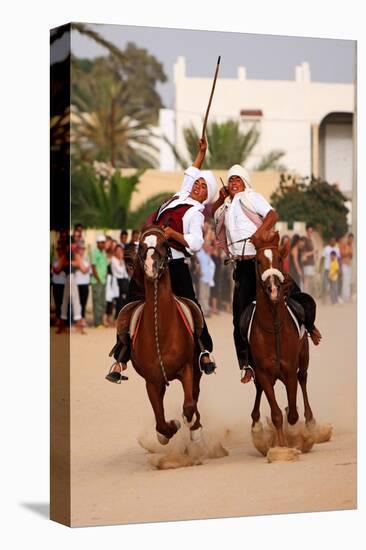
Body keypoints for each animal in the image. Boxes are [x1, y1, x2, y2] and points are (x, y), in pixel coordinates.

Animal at [121, 226, 204, 446]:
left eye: (166, 244)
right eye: (141, 246)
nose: (151, 267)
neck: (162, 331)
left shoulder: (187, 368)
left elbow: (189, 405)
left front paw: (192, 425)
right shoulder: (152, 381)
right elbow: (160, 423)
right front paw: (170, 427)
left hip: (197, 368)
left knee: (195, 395)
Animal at [246, 231, 332, 464]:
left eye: (278, 258)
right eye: (258, 261)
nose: (274, 289)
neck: (273, 328)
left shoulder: (290, 368)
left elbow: (292, 412)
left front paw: (297, 434)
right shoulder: (264, 372)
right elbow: (276, 412)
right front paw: (282, 446)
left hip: (304, 356)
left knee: (303, 378)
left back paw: (309, 422)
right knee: (259, 389)